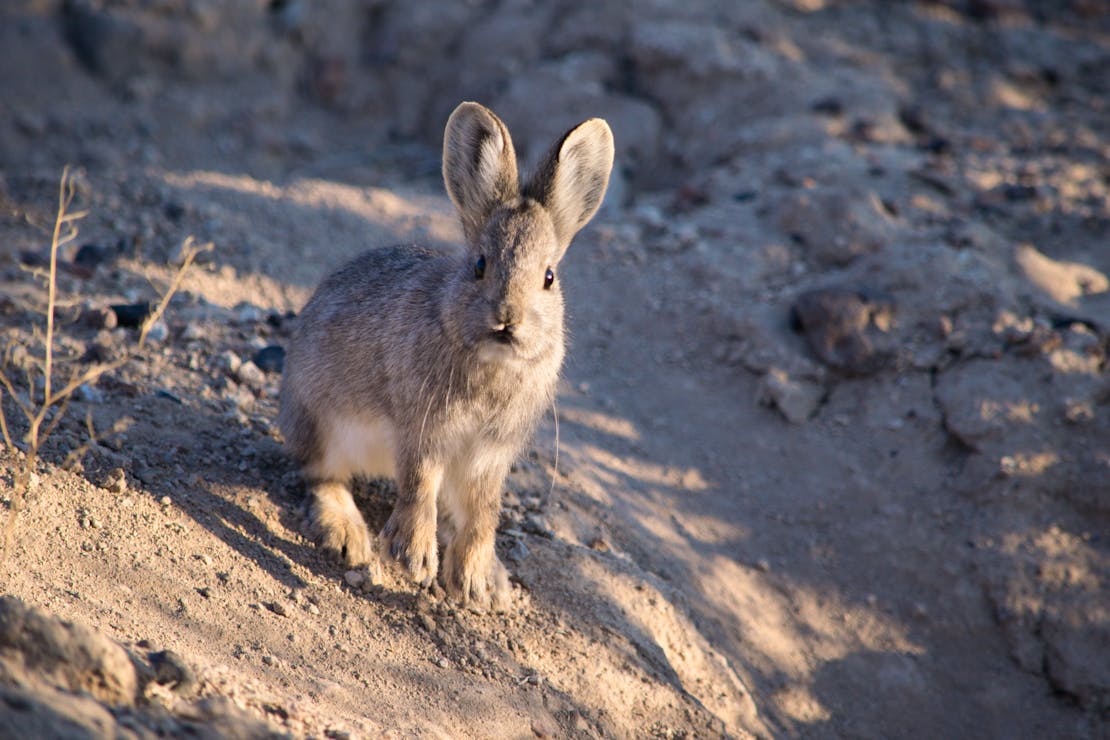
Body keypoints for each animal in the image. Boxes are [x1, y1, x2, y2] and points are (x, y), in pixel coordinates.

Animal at [274, 104, 612, 612]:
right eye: (479, 265)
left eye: (549, 277)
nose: (506, 319)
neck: (491, 361)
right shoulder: (424, 432)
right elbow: (419, 486)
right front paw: (414, 559)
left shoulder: (489, 455)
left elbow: (483, 512)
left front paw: (472, 580)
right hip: (322, 422)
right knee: (322, 476)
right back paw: (348, 534)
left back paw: (493, 577)